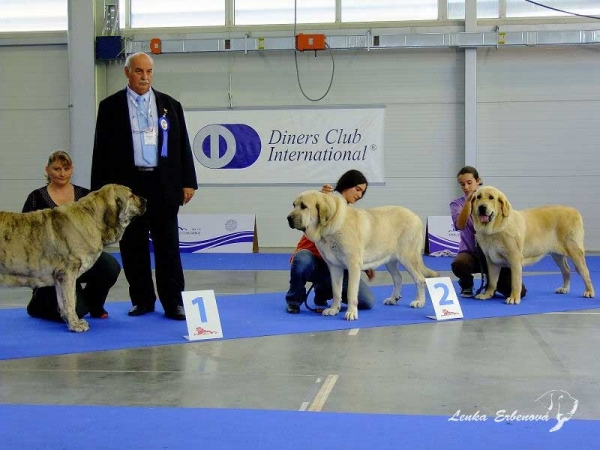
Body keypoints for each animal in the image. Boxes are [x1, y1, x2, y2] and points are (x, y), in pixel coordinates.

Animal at [0, 185, 146, 332]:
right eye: (131, 195)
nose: (145, 200)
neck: (92, 218)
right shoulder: (68, 272)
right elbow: (70, 301)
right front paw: (76, 324)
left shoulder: (60, 277)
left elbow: (63, 302)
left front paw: (68, 321)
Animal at [288, 190, 438, 320]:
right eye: (294, 205)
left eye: (304, 206)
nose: (288, 218)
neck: (331, 225)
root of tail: (415, 216)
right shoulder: (335, 267)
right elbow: (336, 292)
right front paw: (334, 309)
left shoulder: (353, 265)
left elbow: (350, 292)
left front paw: (351, 313)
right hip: (390, 260)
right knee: (398, 278)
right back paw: (393, 299)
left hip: (408, 258)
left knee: (420, 279)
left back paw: (419, 302)